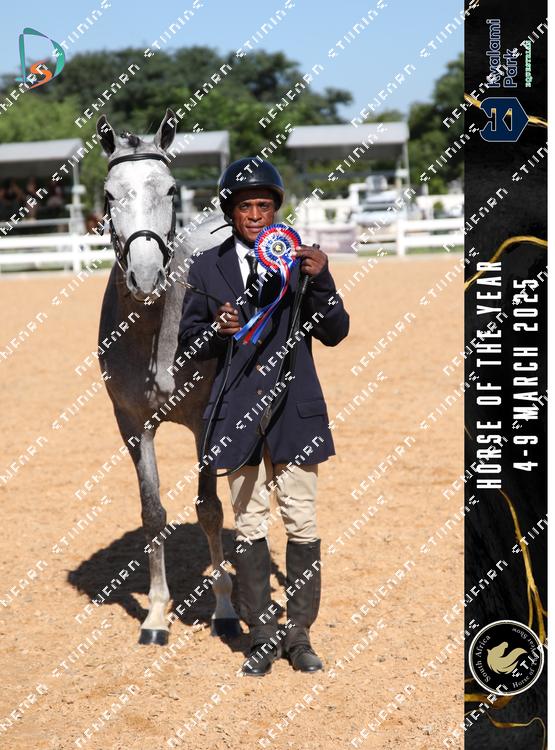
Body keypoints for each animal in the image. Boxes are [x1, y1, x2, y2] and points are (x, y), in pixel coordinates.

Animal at [95, 109, 241, 645]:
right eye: (109, 194)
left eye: (172, 190)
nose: (145, 276)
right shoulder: (131, 424)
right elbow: (153, 512)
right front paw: (157, 615)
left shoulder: (205, 423)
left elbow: (210, 509)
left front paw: (224, 609)